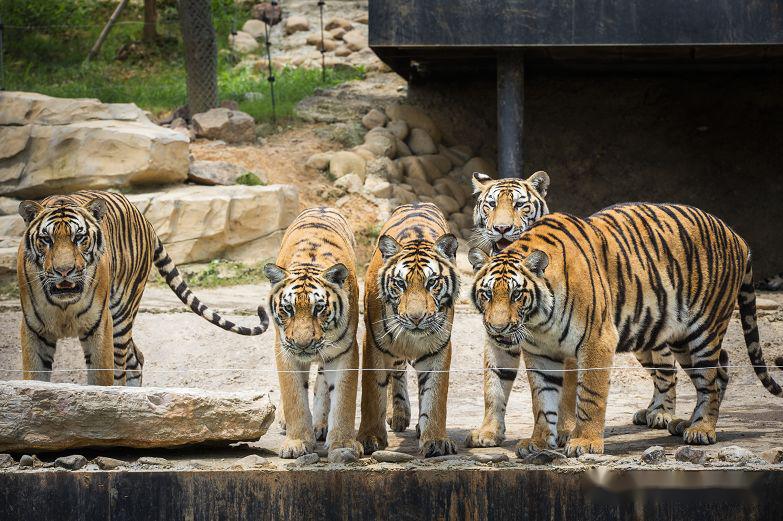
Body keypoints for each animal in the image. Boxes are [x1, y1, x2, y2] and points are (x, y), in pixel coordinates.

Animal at [16, 191, 272, 386]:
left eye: (79, 238)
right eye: (46, 239)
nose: (64, 271)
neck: (64, 304)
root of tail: (142, 215)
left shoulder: (100, 326)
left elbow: (101, 378)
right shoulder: (33, 328)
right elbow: (34, 380)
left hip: (121, 314)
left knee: (125, 364)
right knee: (135, 357)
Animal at [264, 205, 362, 458]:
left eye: (318, 308)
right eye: (288, 309)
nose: (303, 344)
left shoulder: (345, 351)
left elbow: (343, 399)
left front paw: (343, 444)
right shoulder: (285, 350)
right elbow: (294, 397)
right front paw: (296, 442)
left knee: (322, 384)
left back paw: (320, 424)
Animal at [358, 202, 462, 456]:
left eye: (432, 282)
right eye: (400, 283)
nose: (416, 318)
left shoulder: (439, 347)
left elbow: (435, 395)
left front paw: (435, 440)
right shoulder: (373, 343)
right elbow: (372, 393)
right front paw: (370, 438)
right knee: (396, 372)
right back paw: (397, 415)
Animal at [468, 203, 780, 456]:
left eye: (516, 295)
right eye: (487, 295)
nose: (498, 328)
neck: (538, 320)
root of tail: (737, 236)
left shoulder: (596, 340)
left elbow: (589, 396)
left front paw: (584, 442)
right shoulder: (540, 352)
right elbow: (541, 401)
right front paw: (540, 441)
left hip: (703, 330)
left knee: (708, 380)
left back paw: (701, 430)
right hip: (680, 337)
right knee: (720, 368)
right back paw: (690, 422)